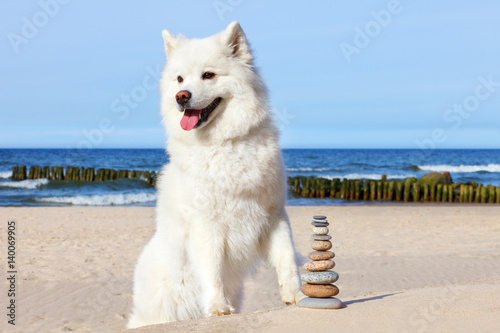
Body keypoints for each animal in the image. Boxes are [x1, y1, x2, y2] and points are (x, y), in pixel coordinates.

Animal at [129, 22, 300, 328]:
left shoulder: (274, 215)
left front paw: (297, 296)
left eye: (208, 75)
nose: (181, 96)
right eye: (179, 79)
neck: (224, 143)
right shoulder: (207, 225)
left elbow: (287, 258)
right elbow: (212, 270)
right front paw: (218, 308)